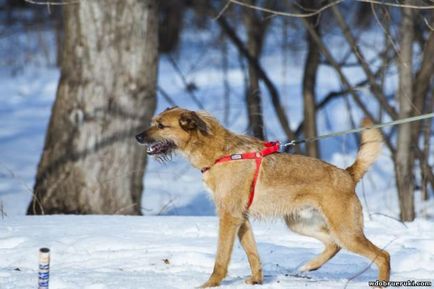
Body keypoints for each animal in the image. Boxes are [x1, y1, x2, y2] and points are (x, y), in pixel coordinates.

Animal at [135, 106, 390, 286]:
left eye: (161, 125)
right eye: (153, 123)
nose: (137, 137)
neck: (219, 153)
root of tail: (347, 174)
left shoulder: (229, 217)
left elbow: (221, 258)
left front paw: (210, 284)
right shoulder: (242, 219)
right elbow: (252, 253)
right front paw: (257, 280)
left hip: (345, 231)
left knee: (382, 256)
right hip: (299, 223)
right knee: (333, 244)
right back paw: (310, 266)